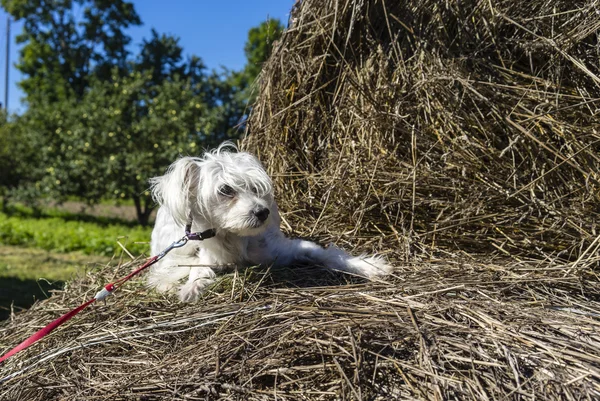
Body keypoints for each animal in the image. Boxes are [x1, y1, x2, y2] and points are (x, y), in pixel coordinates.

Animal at [145, 141, 390, 300]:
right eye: (225, 190)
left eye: (255, 188)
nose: (263, 212)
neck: (238, 239)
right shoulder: (207, 256)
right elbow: (197, 270)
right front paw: (191, 288)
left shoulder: (289, 248)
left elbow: (329, 254)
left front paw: (368, 266)